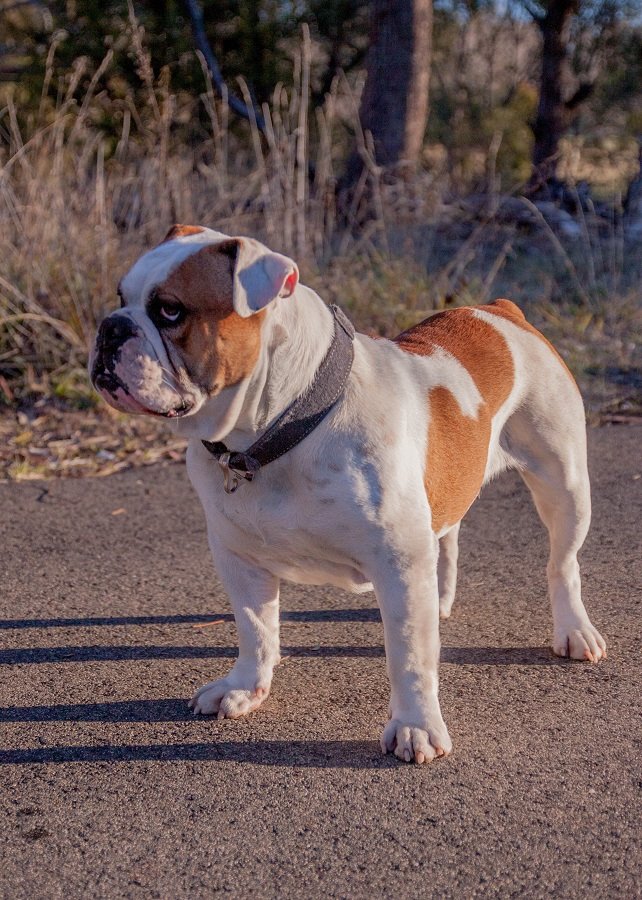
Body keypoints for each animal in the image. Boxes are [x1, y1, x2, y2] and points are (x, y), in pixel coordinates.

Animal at [90, 227, 604, 768]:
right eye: (121, 299)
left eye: (171, 311)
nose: (110, 327)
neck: (276, 430)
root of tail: (501, 310)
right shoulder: (238, 558)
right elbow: (255, 628)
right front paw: (245, 688)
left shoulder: (398, 565)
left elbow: (409, 655)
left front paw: (416, 726)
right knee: (447, 538)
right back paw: (442, 600)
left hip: (565, 485)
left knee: (562, 563)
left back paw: (574, 631)